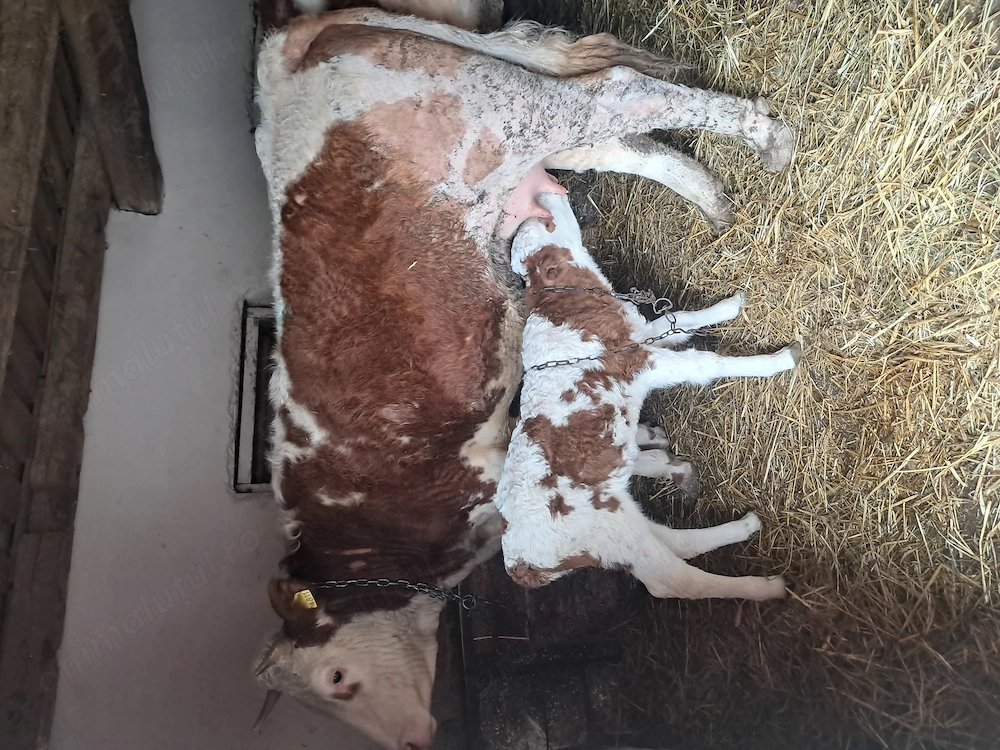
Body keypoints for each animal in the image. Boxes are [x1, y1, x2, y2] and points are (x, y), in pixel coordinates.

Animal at [496, 191, 798, 597]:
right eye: (548, 223)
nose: (546, 191)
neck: (567, 311)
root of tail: (520, 562)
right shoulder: (639, 361)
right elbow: (705, 363)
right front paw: (778, 361)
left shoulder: (642, 335)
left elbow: (680, 320)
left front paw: (729, 305)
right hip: (610, 530)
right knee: (672, 581)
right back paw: (764, 587)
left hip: (620, 517)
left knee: (676, 542)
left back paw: (734, 518)